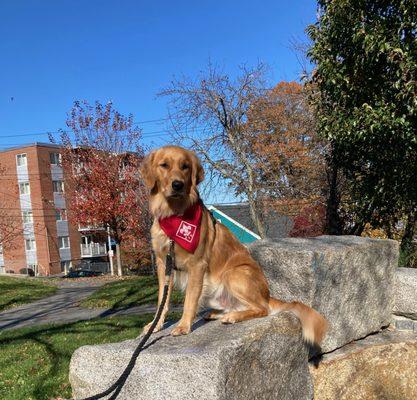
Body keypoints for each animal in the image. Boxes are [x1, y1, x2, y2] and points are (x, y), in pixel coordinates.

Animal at [141, 145, 328, 346]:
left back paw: (233, 316)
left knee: (262, 309)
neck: (173, 214)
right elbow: (162, 299)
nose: (178, 185)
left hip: (233, 274)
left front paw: (184, 325)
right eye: (164, 165)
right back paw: (220, 313)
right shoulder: (163, 263)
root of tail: (267, 295)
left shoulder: (197, 264)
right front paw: (155, 325)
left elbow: (189, 299)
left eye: (185, 166)